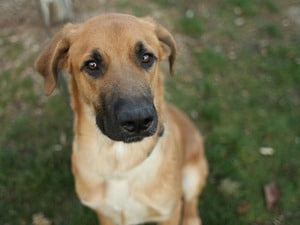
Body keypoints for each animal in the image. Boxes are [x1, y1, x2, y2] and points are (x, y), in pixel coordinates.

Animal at [35, 13, 209, 225]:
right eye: (92, 65)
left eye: (146, 57)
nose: (138, 120)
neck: (120, 162)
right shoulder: (105, 215)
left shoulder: (169, 212)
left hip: (193, 174)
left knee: (191, 201)